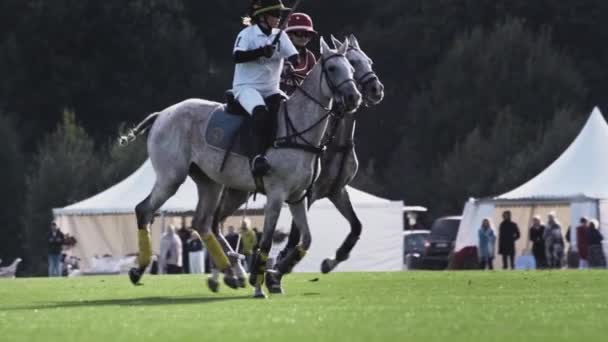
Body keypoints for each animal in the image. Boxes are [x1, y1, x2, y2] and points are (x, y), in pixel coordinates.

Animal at [124, 38, 360, 298]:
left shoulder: (298, 196)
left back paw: (230, 271)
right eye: (333, 68)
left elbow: (305, 239)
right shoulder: (277, 194)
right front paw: (261, 284)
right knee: (144, 209)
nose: (354, 97)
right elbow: (266, 241)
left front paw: (272, 275)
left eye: (351, 68)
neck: (299, 130)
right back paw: (139, 270)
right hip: (171, 176)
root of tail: (161, 114)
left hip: (210, 182)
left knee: (202, 222)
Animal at [207, 33, 382, 292]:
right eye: (352, 63)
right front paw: (275, 273)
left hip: (236, 191)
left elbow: (356, 226)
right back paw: (226, 273)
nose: (373, 89)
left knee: (214, 222)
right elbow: (295, 236)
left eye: (367, 61)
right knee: (211, 222)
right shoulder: (305, 193)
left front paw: (330, 261)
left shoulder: (336, 190)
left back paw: (229, 274)